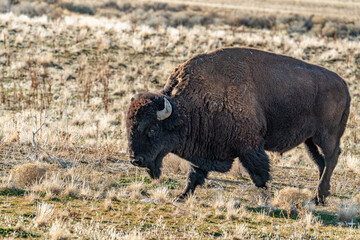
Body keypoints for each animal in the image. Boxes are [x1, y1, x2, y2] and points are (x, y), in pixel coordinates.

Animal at [126, 47, 348, 203]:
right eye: (129, 128)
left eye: (152, 129)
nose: (136, 160)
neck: (186, 108)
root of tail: (344, 85)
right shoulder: (201, 150)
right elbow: (194, 174)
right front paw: (181, 196)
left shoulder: (249, 147)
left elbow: (259, 173)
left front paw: (265, 196)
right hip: (309, 141)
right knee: (321, 163)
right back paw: (320, 196)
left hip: (325, 136)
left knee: (331, 158)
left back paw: (319, 196)